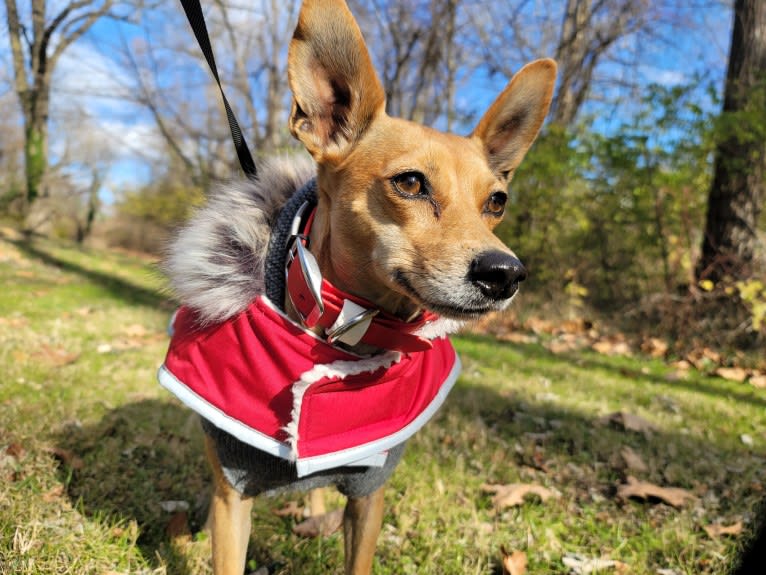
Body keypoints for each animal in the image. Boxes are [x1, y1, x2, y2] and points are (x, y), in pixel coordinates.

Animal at [160, 2, 560, 572]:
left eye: (497, 201)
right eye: (410, 182)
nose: (505, 273)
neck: (348, 332)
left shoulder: (370, 492)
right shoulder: (232, 496)